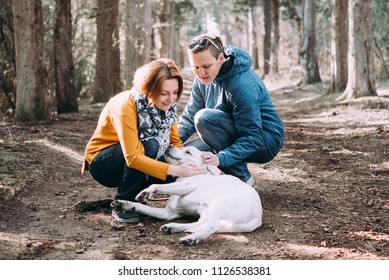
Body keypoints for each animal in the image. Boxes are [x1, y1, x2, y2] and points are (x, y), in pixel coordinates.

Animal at [110, 145, 262, 244]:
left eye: (188, 152)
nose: (170, 145)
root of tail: (258, 217)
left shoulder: (187, 186)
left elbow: (158, 186)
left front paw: (147, 192)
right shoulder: (168, 213)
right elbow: (143, 207)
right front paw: (125, 204)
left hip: (220, 204)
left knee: (211, 227)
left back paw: (192, 238)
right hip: (208, 212)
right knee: (202, 223)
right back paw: (173, 227)